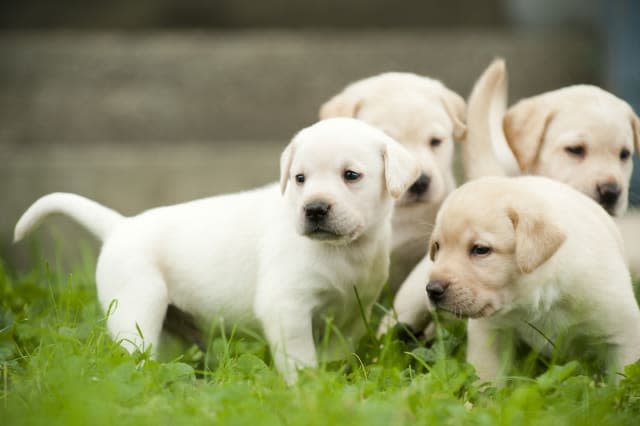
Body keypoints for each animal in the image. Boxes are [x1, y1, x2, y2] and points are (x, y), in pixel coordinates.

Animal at [13, 117, 420, 382]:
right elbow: (300, 359)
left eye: (351, 175)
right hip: (135, 311)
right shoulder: (286, 309)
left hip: (170, 330)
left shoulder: (351, 316)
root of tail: (120, 226)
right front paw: (306, 390)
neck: (343, 250)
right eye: (300, 179)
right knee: (134, 356)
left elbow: (336, 353)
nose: (315, 209)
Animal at [424, 175, 640, 382]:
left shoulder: (625, 332)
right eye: (437, 246)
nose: (432, 290)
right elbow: (487, 378)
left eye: (480, 249)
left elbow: (624, 378)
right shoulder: (490, 333)